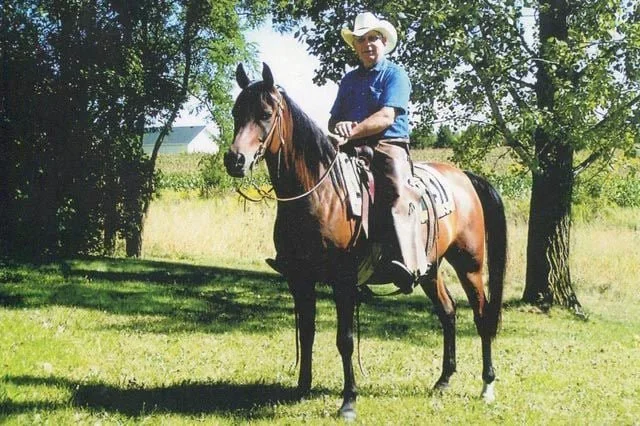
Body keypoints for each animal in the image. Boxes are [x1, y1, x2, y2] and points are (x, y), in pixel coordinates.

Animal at [224, 62, 507, 420]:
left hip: (470, 264)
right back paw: (443, 380)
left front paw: (348, 401)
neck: (320, 193)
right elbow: (307, 331)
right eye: (236, 112)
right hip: (429, 269)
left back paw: (487, 385)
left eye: (265, 113)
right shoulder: (300, 279)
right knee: (448, 311)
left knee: (482, 316)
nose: (235, 160)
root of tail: (465, 178)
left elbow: (344, 339)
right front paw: (302, 388)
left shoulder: (344, 280)